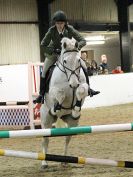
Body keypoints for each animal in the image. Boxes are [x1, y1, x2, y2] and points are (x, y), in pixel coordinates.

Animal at [40, 37, 89, 169]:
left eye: (78, 60)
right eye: (65, 61)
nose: (74, 84)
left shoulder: (83, 86)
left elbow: (81, 90)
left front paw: (76, 110)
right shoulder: (53, 91)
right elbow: (60, 94)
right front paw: (56, 107)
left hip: (72, 123)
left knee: (67, 138)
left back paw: (65, 160)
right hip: (46, 122)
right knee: (45, 140)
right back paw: (44, 162)